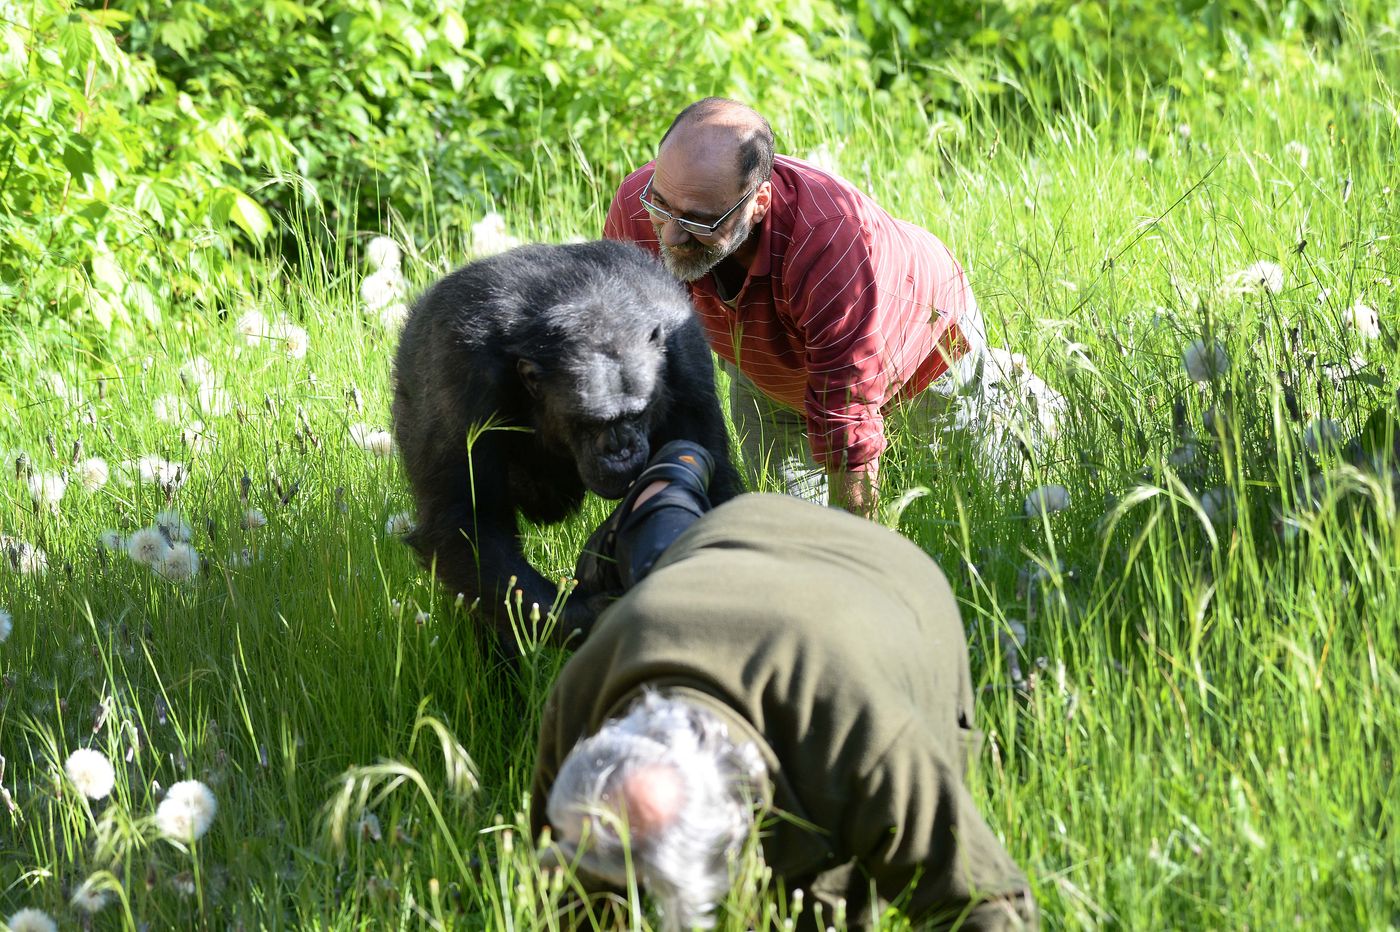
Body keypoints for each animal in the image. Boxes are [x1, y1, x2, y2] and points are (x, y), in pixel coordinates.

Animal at [392, 239, 744, 660]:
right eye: (591, 423)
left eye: (638, 413)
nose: (621, 449)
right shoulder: (458, 374)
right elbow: (468, 520)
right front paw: (592, 618)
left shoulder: (685, 358)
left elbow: (714, 482)